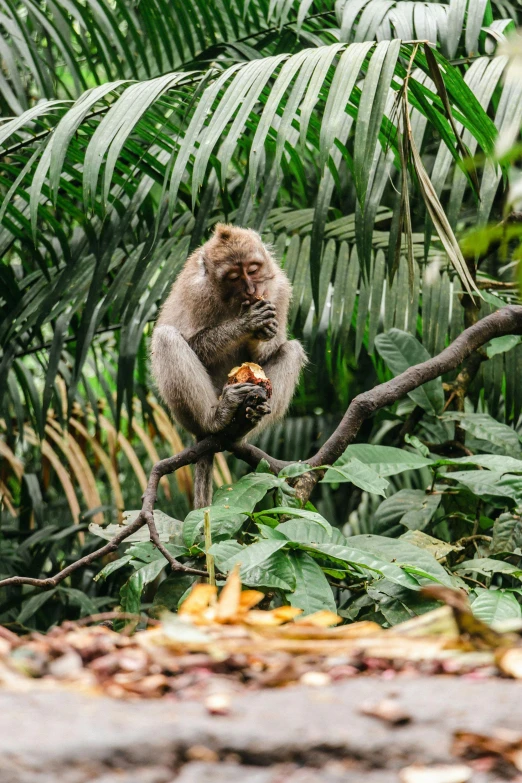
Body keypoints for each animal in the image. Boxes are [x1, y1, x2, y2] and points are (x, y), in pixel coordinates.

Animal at [150, 224, 304, 512]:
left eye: (253, 269)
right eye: (234, 276)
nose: (252, 289)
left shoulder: (279, 288)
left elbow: (272, 348)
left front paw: (264, 330)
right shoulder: (196, 292)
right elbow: (193, 343)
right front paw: (248, 323)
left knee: (292, 350)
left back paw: (250, 418)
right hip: (186, 414)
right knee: (166, 337)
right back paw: (217, 417)